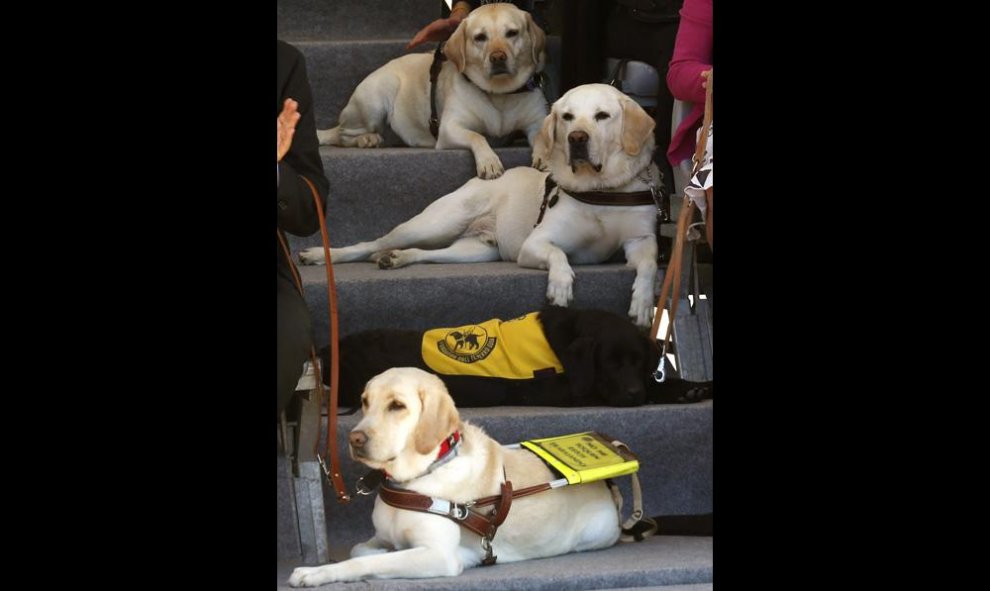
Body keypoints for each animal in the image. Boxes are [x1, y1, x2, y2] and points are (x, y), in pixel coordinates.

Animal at [288, 368, 628, 584]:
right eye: (365, 402)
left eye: (397, 405)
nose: (355, 439)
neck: (417, 477)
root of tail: (609, 490)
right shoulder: (384, 537)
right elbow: (361, 549)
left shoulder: (439, 556)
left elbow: (366, 560)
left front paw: (314, 573)